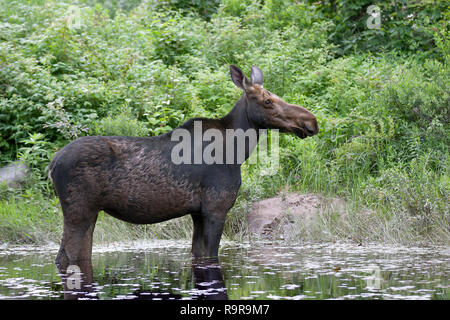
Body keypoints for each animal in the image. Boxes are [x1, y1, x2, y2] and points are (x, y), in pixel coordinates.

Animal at [49, 65, 318, 278]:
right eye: (268, 101)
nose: (311, 121)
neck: (238, 150)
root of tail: (52, 164)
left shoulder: (197, 213)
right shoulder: (215, 208)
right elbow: (210, 256)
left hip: (89, 213)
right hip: (79, 211)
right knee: (66, 256)